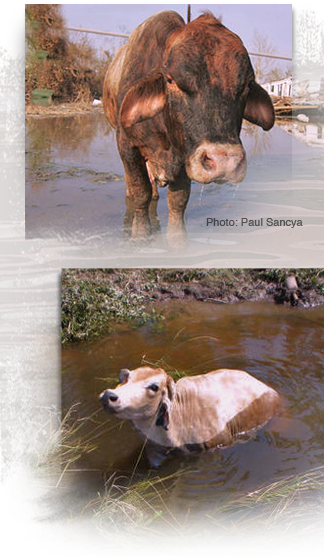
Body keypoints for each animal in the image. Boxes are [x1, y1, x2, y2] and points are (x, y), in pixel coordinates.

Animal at [102, 9, 274, 244]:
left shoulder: (184, 156)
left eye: (247, 85)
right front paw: (140, 233)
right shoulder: (127, 146)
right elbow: (140, 193)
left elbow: (178, 202)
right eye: (171, 80)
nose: (224, 162)